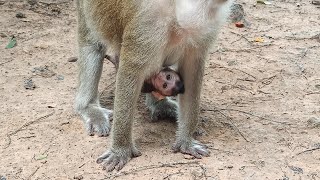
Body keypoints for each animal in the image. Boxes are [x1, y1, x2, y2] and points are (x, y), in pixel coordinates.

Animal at [76, 0, 234, 172]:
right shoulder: (147, 21)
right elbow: (131, 70)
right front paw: (120, 149)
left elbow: (192, 72)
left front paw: (186, 141)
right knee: (92, 44)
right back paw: (88, 107)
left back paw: (159, 104)